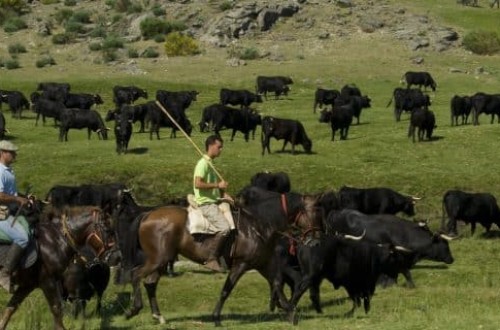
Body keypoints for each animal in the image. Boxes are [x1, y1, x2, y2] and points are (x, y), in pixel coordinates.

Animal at [119, 187, 326, 326]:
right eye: (315, 213)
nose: (316, 242)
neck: (257, 225)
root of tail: (147, 214)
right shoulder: (241, 264)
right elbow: (227, 289)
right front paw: (216, 317)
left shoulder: (263, 264)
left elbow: (276, 283)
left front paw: (289, 311)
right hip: (158, 259)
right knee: (136, 275)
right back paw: (134, 309)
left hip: (161, 260)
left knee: (150, 282)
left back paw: (158, 316)